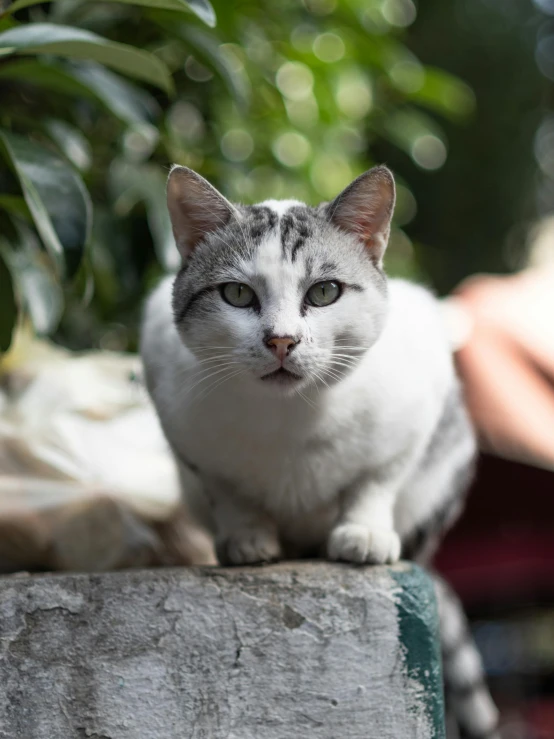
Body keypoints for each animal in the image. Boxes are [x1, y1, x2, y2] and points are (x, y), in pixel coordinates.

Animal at [140, 163, 498, 739]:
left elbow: (376, 478)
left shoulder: (417, 407)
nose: (282, 341)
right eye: (236, 294)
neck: (292, 418)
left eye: (325, 291)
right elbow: (228, 491)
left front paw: (363, 533)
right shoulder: (182, 426)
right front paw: (248, 537)